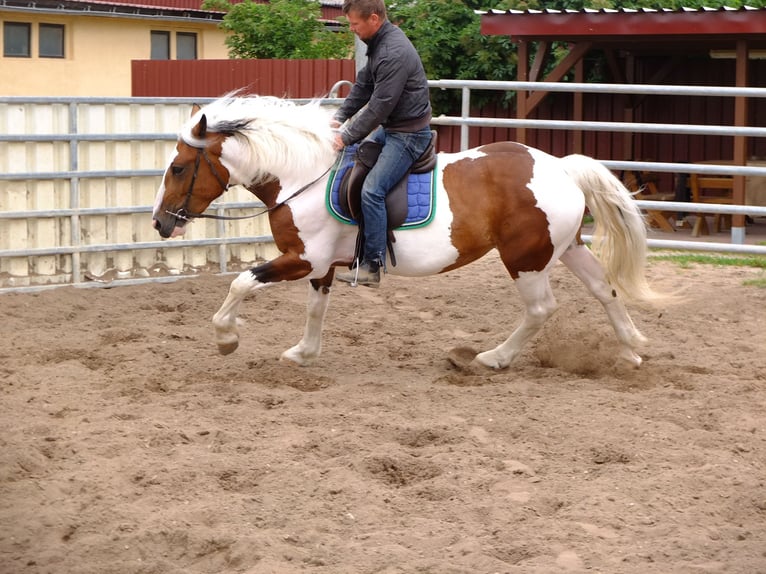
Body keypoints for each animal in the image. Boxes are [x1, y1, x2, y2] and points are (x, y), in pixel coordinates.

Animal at [153, 97, 664, 372]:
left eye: (178, 167)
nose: (160, 222)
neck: (305, 176)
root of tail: (560, 166)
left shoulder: (303, 259)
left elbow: (242, 283)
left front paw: (226, 339)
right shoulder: (320, 265)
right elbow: (316, 309)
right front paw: (304, 352)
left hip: (525, 259)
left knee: (541, 309)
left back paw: (493, 358)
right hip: (566, 249)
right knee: (605, 289)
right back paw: (631, 351)